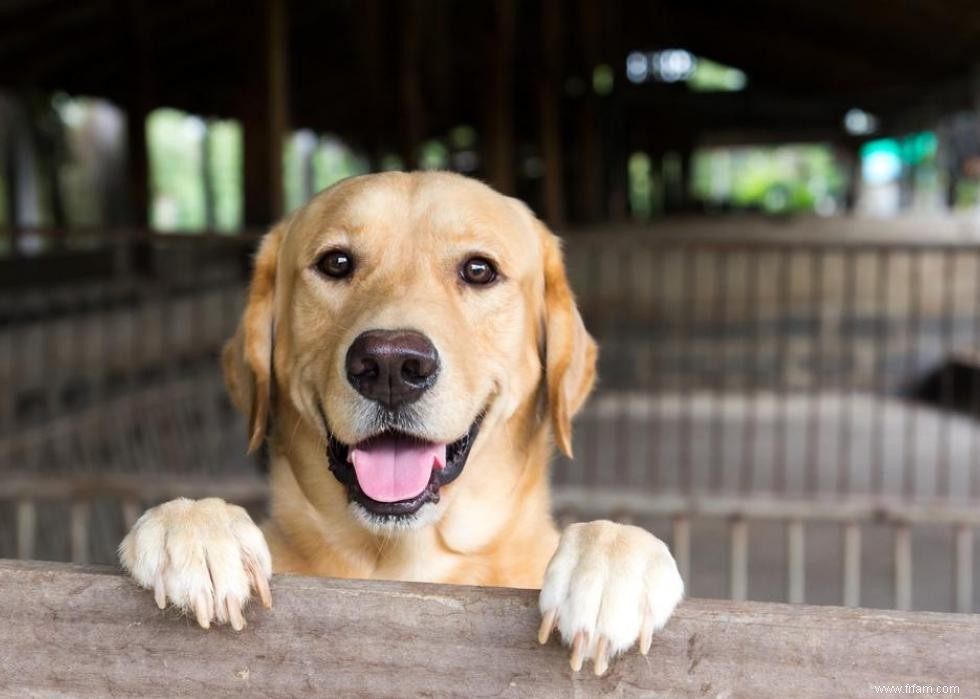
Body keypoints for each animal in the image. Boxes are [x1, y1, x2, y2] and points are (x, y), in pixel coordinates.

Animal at [118, 171, 680, 680]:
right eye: (336, 262)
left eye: (479, 270)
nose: (390, 365)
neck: (406, 562)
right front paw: (195, 528)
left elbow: (614, 540)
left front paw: (610, 566)